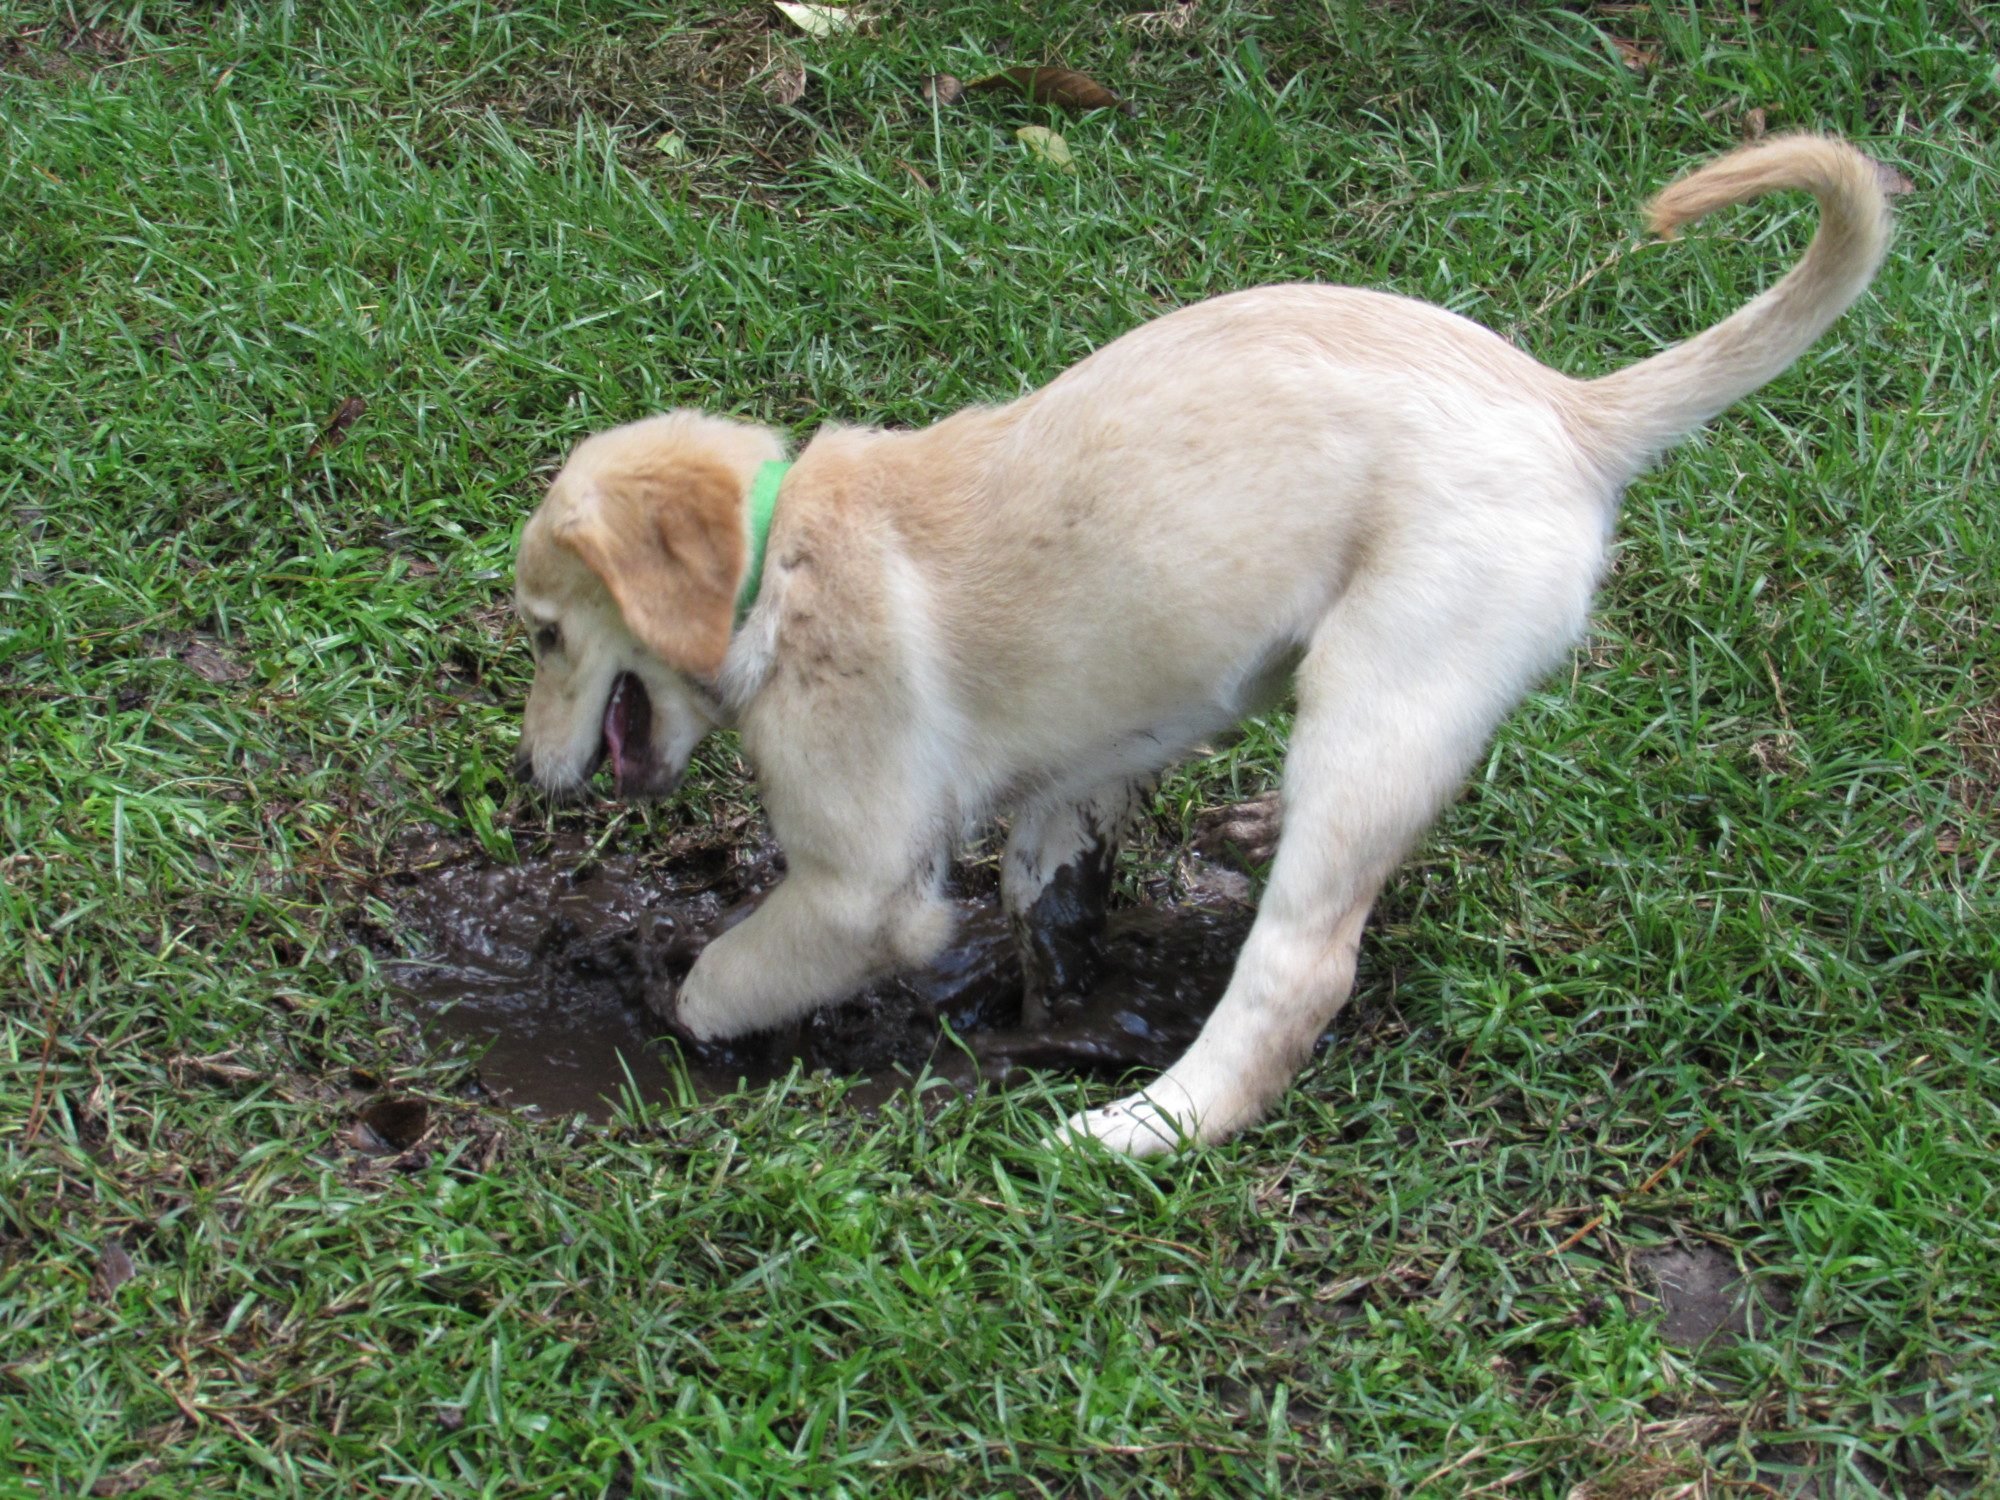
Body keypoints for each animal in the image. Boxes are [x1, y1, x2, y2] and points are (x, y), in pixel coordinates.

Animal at [512, 135, 1894, 1156]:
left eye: (540, 636)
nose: (529, 772)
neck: (777, 563)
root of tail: (1571, 409)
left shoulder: (862, 888)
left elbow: (740, 967)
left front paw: (669, 1005)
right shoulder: (1075, 778)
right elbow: (1049, 892)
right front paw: (1048, 1002)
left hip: (1380, 691)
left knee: (1299, 972)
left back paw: (1139, 1126)